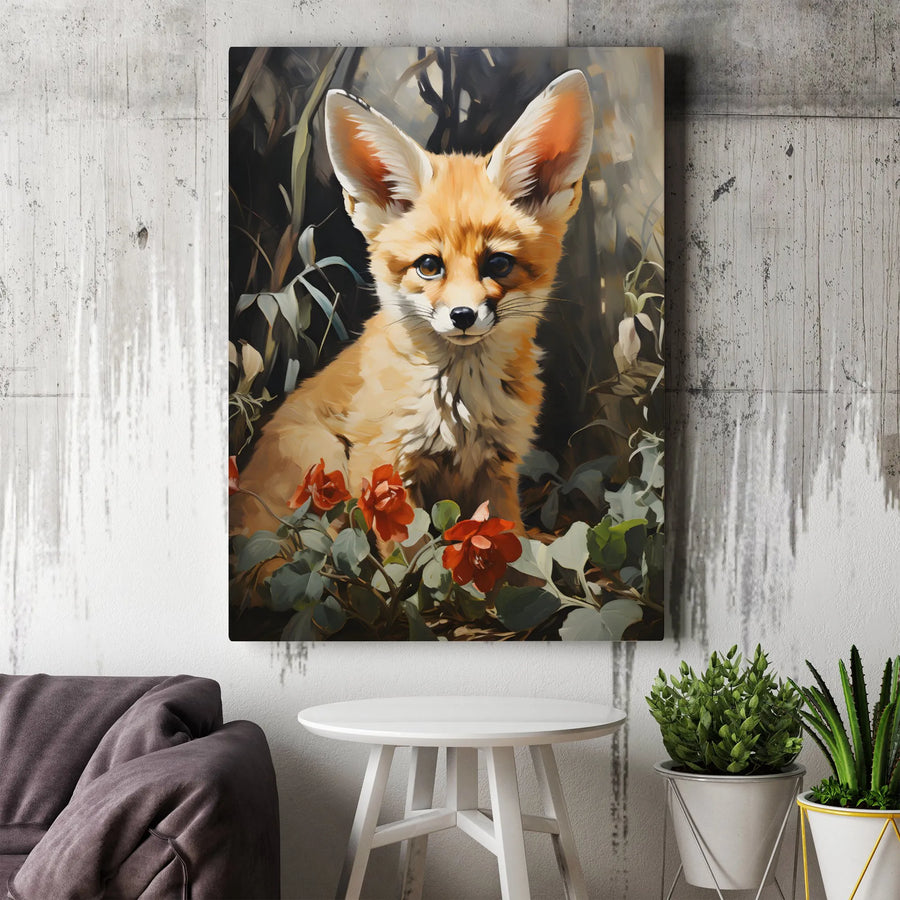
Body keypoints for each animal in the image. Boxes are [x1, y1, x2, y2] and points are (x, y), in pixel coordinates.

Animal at [230, 69, 595, 536]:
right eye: (428, 266)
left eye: (498, 263)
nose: (462, 315)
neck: (461, 407)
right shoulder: (385, 467)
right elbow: (411, 549)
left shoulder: (499, 470)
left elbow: (509, 542)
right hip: (324, 460)